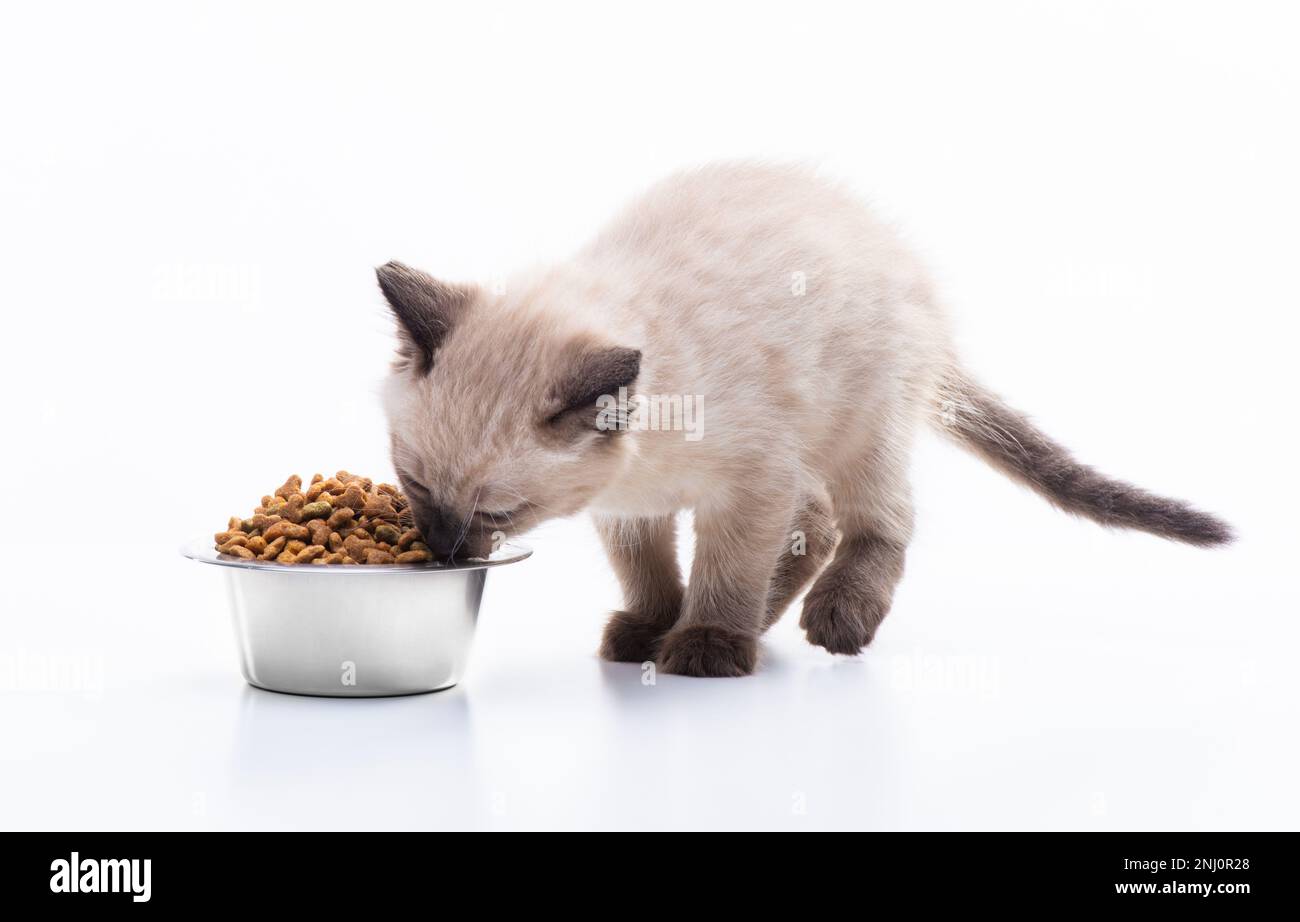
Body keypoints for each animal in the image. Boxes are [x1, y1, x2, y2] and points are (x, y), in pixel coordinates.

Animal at [377, 159, 1227, 676]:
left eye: (496, 513)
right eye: (413, 484)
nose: (445, 549)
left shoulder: (750, 485)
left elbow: (728, 568)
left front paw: (707, 643)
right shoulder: (631, 508)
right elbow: (650, 574)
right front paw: (654, 627)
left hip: (862, 427)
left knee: (878, 521)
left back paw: (832, 617)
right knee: (816, 524)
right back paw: (764, 618)